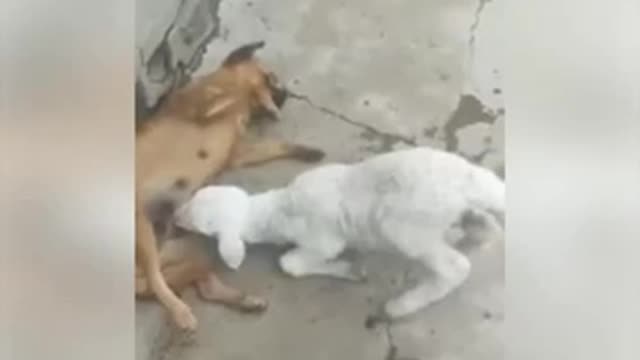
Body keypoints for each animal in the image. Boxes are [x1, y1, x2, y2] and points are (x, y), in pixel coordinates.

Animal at [136, 41, 324, 330]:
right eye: (273, 76)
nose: (287, 95)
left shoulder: (238, 152)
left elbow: (275, 145)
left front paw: (306, 150)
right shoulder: (203, 104)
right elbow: (238, 93)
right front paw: (262, 98)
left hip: (187, 245)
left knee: (195, 283)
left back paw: (243, 300)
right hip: (141, 230)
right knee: (156, 281)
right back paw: (180, 311)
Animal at [175, 147, 504, 326]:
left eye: (195, 219)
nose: (175, 216)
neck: (278, 210)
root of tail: (468, 179)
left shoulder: (323, 240)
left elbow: (290, 264)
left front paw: (348, 269)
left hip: (405, 227)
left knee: (456, 267)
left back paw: (402, 305)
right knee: (485, 228)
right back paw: (471, 232)